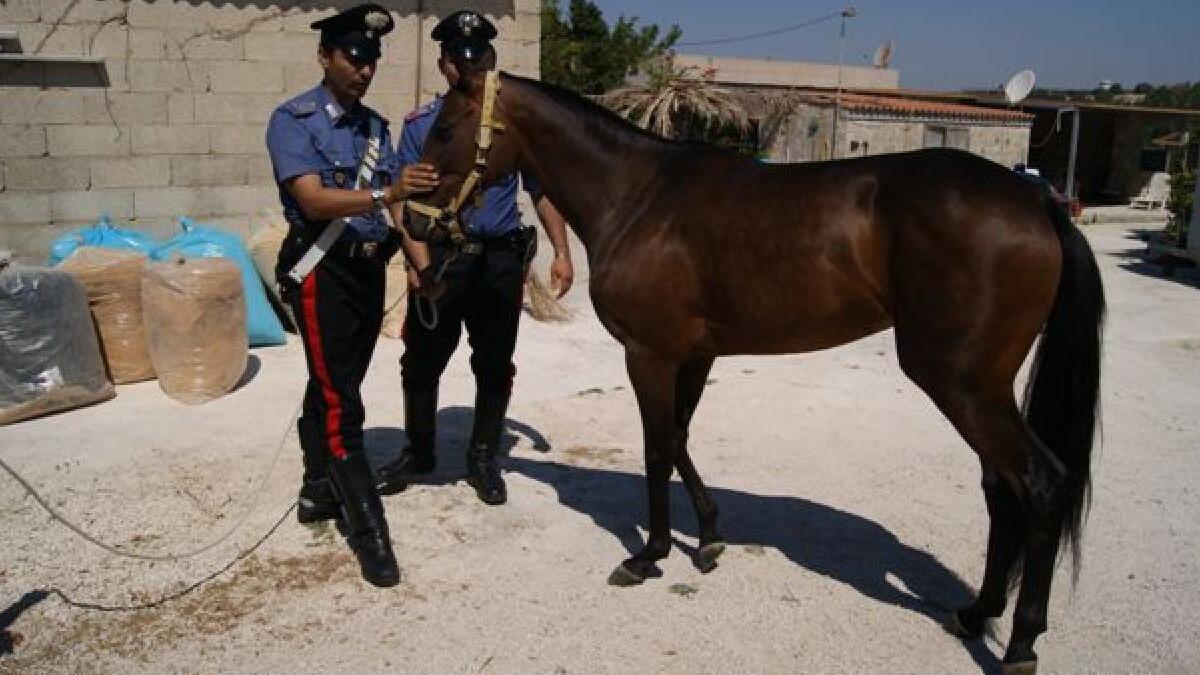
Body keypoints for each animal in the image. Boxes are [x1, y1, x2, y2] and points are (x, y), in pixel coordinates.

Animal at [406, 66, 1105, 675]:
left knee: (1040, 485)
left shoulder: (648, 354)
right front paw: (710, 537)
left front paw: (650, 554)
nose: (412, 219)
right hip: (983, 388)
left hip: (961, 384)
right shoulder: (692, 355)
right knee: (1000, 489)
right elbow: (679, 440)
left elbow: (655, 449)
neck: (638, 196)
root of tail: (1036, 201)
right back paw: (976, 612)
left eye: (446, 126)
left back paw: (1020, 645)